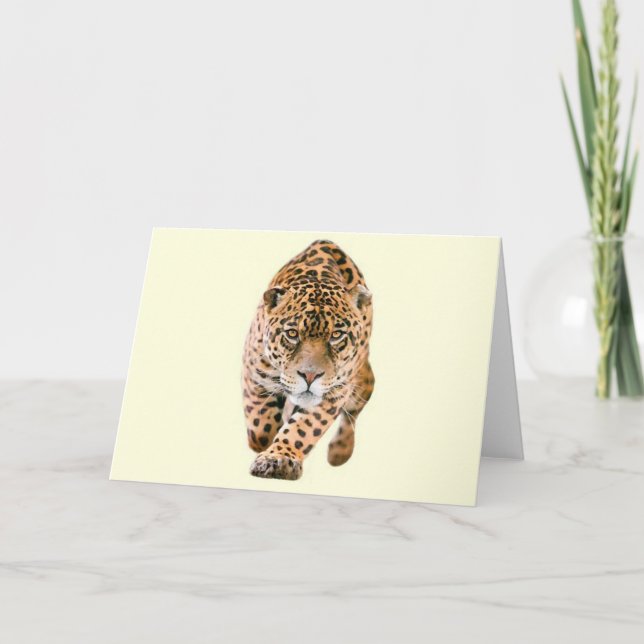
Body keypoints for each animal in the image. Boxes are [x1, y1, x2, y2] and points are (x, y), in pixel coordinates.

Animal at [242, 239, 375, 481]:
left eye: (336, 335)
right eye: (292, 334)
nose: (310, 375)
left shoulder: (334, 392)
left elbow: (303, 428)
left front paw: (278, 459)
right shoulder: (255, 374)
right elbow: (259, 429)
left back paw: (340, 451)